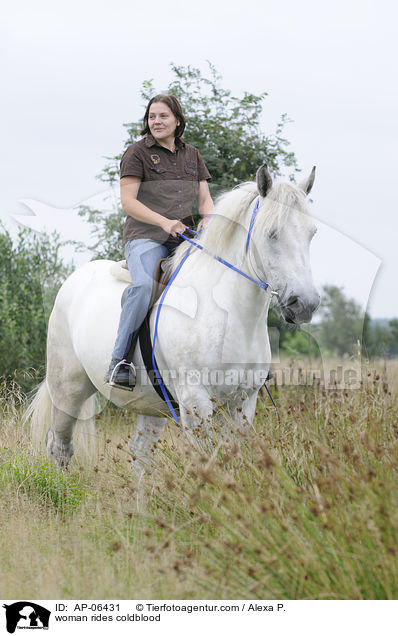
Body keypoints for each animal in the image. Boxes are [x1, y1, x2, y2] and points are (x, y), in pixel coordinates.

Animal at [26, 164, 320, 472]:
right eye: (272, 233)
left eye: (311, 233)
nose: (305, 304)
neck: (229, 316)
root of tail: (73, 281)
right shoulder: (196, 403)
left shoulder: (243, 402)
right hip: (68, 391)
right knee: (60, 446)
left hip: (150, 404)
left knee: (140, 455)